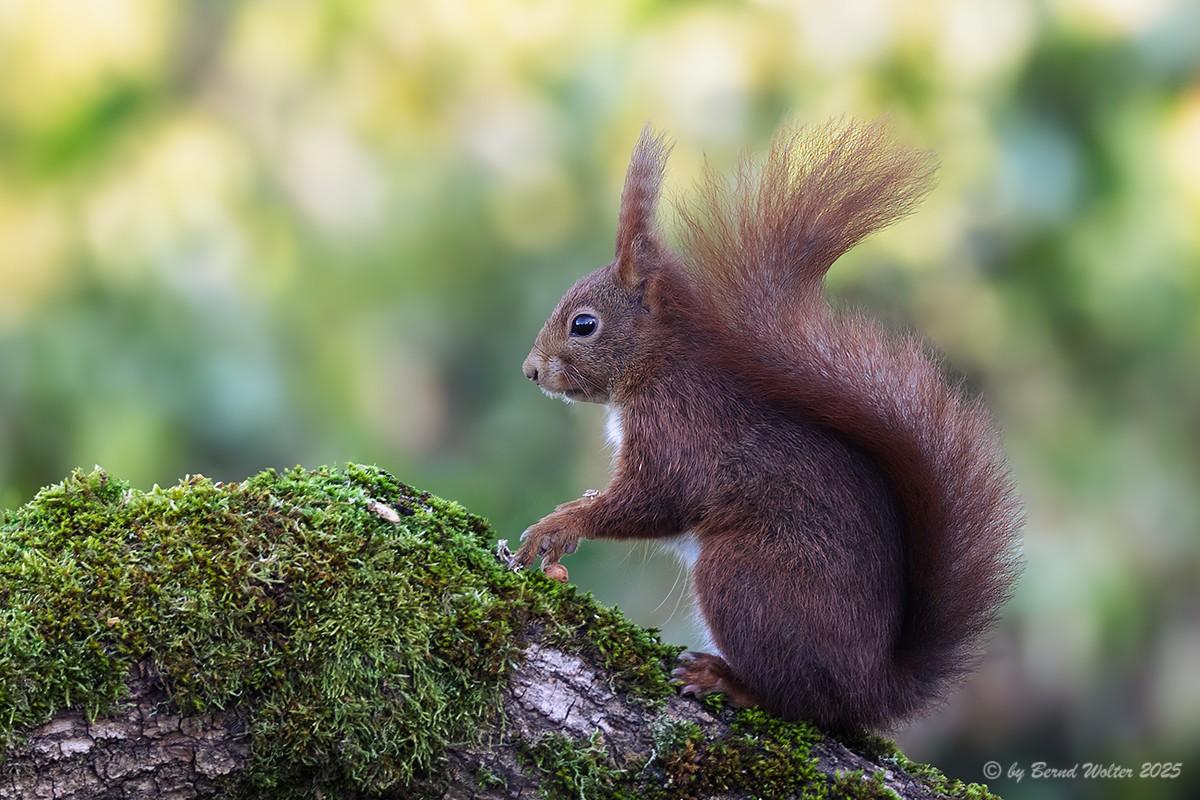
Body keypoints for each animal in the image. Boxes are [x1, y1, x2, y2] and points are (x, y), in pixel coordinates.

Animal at [514, 118, 1022, 732]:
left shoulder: (680, 430)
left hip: (743, 577)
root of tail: (873, 687)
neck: (659, 367)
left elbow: (656, 499)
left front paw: (564, 523)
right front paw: (577, 505)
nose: (530, 370)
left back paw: (731, 683)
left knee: (801, 701)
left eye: (584, 325)